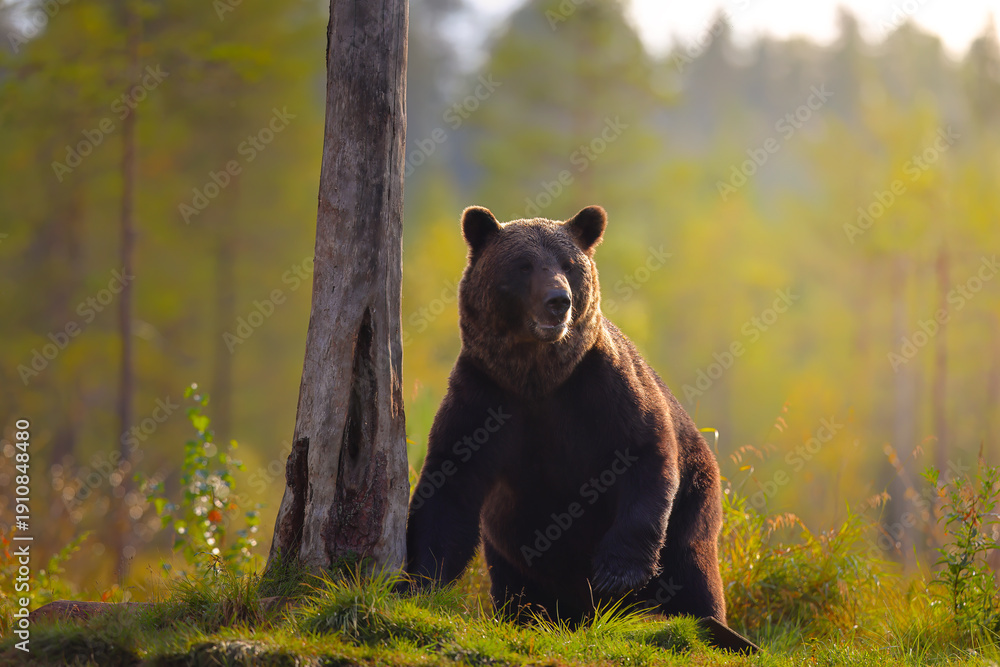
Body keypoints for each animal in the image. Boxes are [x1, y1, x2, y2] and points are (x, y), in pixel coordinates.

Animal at [405, 205, 728, 627]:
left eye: (569, 264)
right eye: (524, 265)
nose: (559, 300)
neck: (538, 376)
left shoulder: (603, 389)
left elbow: (645, 453)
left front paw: (617, 571)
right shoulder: (484, 397)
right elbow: (449, 485)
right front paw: (420, 580)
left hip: (696, 497)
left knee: (694, 574)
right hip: (509, 553)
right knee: (516, 586)